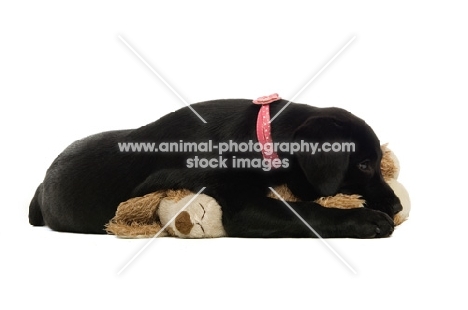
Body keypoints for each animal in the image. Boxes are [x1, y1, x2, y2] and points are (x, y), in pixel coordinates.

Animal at [29, 99, 402, 237]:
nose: (398, 206)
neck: (262, 136)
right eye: (364, 164)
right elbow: (307, 212)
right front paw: (364, 219)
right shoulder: (242, 206)